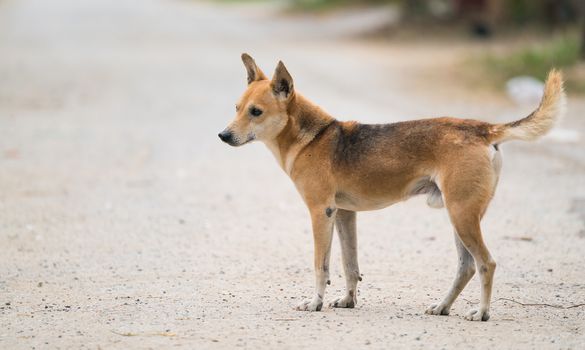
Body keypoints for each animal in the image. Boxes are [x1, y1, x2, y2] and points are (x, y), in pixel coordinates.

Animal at [217, 53, 564, 322]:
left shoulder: (320, 212)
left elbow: (321, 266)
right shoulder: (344, 214)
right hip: (460, 217)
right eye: (236, 107)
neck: (312, 137)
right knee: (466, 268)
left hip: (462, 215)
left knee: (486, 263)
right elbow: (349, 264)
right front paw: (348, 301)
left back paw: (481, 313)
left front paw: (315, 302)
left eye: (256, 112)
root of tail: (484, 129)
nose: (222, 136)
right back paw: (442, 306)